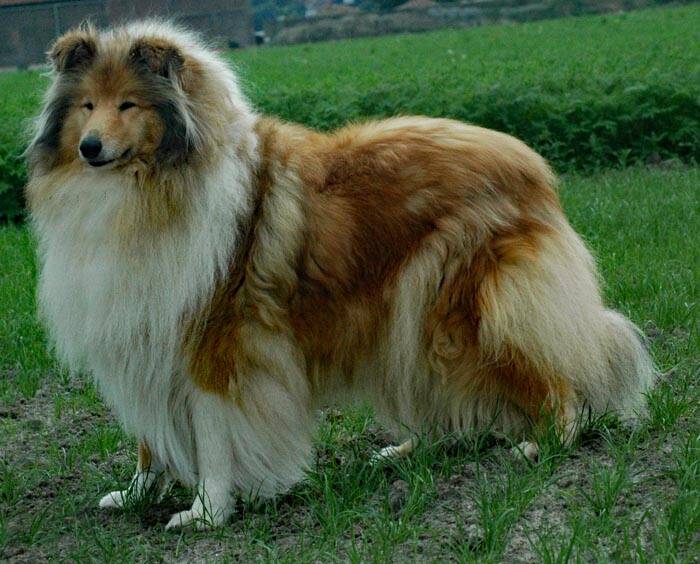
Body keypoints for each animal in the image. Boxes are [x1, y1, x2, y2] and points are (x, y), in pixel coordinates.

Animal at [26, 21, 656, 529]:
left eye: (130, 105)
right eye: (87, 105)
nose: (90, 148)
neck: (145, 188)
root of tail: (533, 166)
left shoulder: (218, 341)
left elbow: (213, 435)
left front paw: (206, 513)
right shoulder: (145, 332)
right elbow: (147, 442)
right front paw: (135, 496)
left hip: (466, 311)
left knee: (558, 379)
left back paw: (543, 445)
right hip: (416, 318)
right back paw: (405, 452)